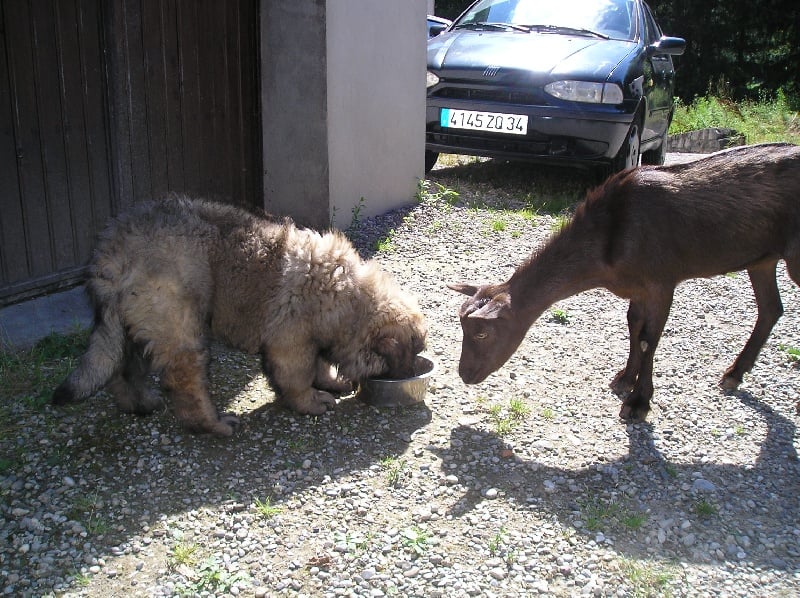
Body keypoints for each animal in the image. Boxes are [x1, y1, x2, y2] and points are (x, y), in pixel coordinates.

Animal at [450, 144, 800, 422]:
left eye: (481, 332)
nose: (465, 374)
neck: (606, 250)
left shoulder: (662, 279)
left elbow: (648, 339)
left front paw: (638, 403)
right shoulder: (636, 286)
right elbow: (633, 325)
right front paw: (624, 379)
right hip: (762, 259)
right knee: (771, 307)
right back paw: (733, 375)